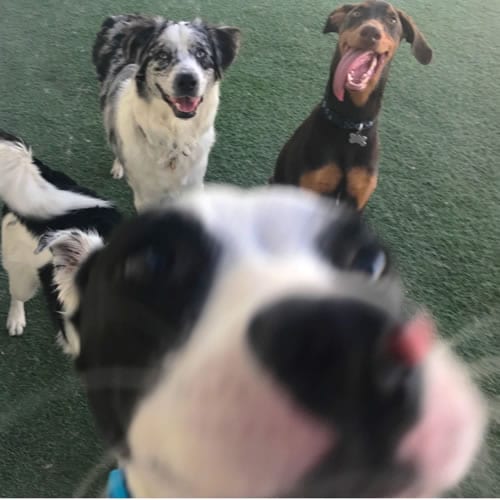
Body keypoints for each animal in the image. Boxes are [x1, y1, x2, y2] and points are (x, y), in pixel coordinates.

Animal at [94, 15, 242, 211]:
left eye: (201, 53)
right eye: (162, 55)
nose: (187, 81)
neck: (175, 135)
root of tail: (120, 17)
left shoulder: (194, 184)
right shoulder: (146, 196)